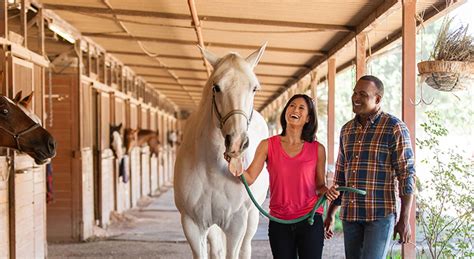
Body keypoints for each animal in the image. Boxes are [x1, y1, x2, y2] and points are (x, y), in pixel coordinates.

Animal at [174, 43, 270, 258]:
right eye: (216, 87)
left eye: (254, 88)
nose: (237, 142)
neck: (212, 168)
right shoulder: (192, 224)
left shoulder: (236, 223)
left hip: (252, 216)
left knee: (245, 248)